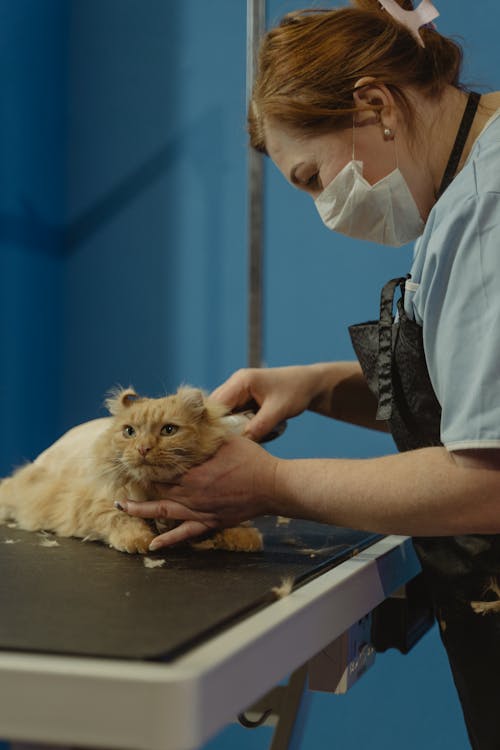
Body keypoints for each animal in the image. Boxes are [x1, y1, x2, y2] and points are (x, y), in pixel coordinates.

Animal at [0, 388, 264, 560]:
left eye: (169, 430)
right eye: (129, 432)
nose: (143, 448)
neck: (152, 489)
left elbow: (231, 519)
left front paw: (242, 536)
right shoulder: (96, 503)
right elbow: (121, 517)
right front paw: (139, 540)